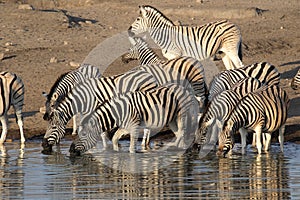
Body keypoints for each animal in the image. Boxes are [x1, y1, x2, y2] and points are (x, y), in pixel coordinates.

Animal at [69, 83, 198, 155]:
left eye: (84, 134)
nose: (70, 150)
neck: (119, 111)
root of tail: (183, 88)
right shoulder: (125, 127)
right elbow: (115, 138)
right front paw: (116, 153)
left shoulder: (134, 126)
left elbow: (131, 148)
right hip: (171, 119)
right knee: (179, 133)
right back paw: (179, 148)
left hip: (182, 114)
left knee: (182, 132)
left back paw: (172, 148)